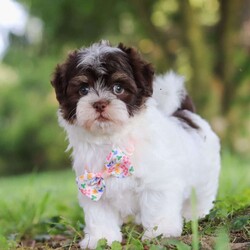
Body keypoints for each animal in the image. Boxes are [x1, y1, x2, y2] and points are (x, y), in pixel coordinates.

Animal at [50, 40, 221, 249]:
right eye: (83, 90)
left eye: (118, 88)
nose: (99, 103)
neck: (113, 142)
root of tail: (185, 113)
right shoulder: (94, 187)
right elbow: (99, 216)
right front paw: (100, 238)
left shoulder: (158, 183)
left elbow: (158, 208)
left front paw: (161, 232)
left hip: (206, 174)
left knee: (202, 195)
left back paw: (196, 214)